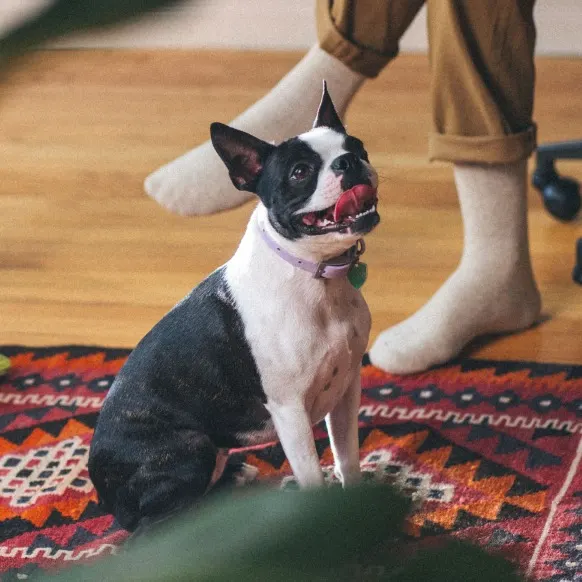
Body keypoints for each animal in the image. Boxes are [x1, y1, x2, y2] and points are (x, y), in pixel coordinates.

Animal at [89, 82, 380, 532]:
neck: (315, 276)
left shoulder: (347, 389)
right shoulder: (290, 411)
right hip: (190, 448)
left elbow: (348, 459)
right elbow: (312, 474)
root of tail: (102, 491)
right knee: (156, 524)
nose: (349, 162)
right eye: (300, 172)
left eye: (359, 147)